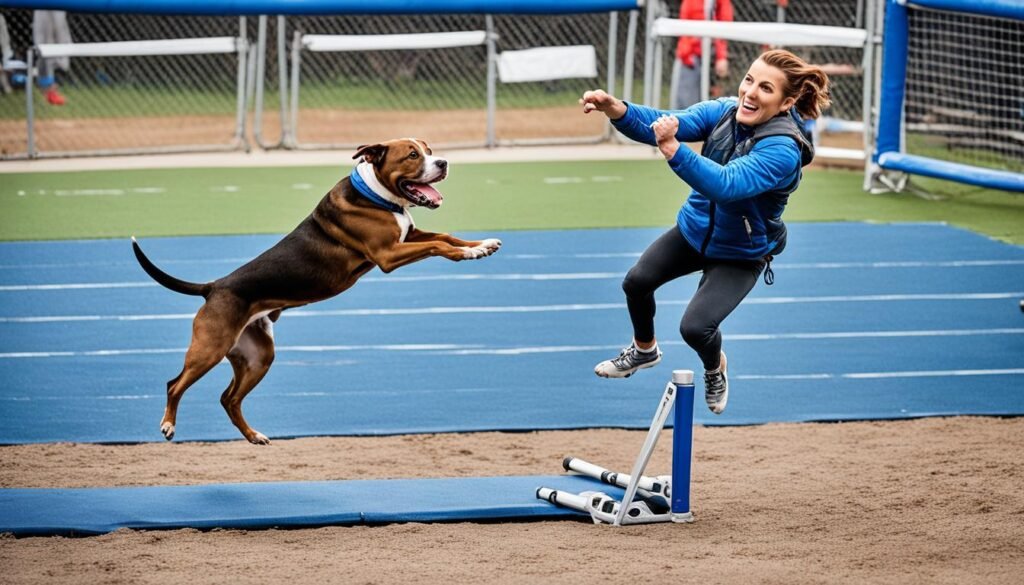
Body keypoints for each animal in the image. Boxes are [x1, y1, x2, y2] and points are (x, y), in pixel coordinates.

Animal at [134, 140, 501, 444]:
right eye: (412, 155)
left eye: (429, 150)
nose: (443, 162)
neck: (376, 196)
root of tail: (214, 286)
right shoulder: (387, 254)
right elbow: (440, 245)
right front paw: (468, 253)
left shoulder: (409, 236)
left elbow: (447, 236)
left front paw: (481, 245)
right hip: (209, 348)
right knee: (175, 384)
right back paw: (168, 424)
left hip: (258, 356)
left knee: (229, 398)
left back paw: (254, 436)